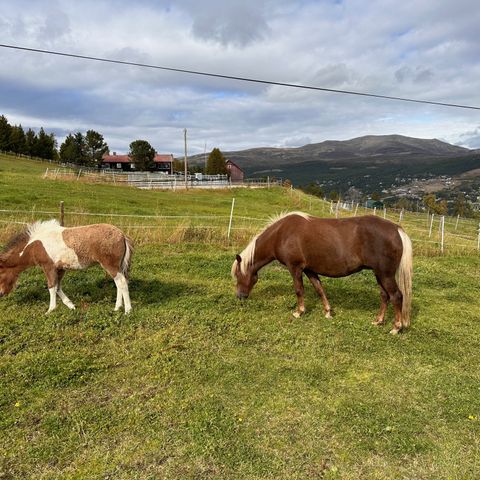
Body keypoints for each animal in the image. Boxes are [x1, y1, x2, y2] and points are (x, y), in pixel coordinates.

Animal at [0, 219, 133, 314]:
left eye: (0, 274)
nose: (1, 293)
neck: (34, 245)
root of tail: (122, 235)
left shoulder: (48, 266)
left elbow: (51, 287)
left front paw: (50, 310)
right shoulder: (60, 268)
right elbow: (58, 287)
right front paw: (71, 305)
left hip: (110, 265)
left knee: (121, 283)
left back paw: (127, 310)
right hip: (117, 266)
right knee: (119, 283)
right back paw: (117, 308)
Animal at [232, 213, 412, 334]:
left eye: (238, 276)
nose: (240, 296)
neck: (281, 234)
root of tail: (396, 229)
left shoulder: (295, 268)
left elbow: (299, 290)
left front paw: (299, 312)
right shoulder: (310, 270)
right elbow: (319, 289)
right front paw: (327, 312)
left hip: (385, 274)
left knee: (396, 296)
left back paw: (396, 328)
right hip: (378, 274)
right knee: (384, 296)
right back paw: (378, 321)